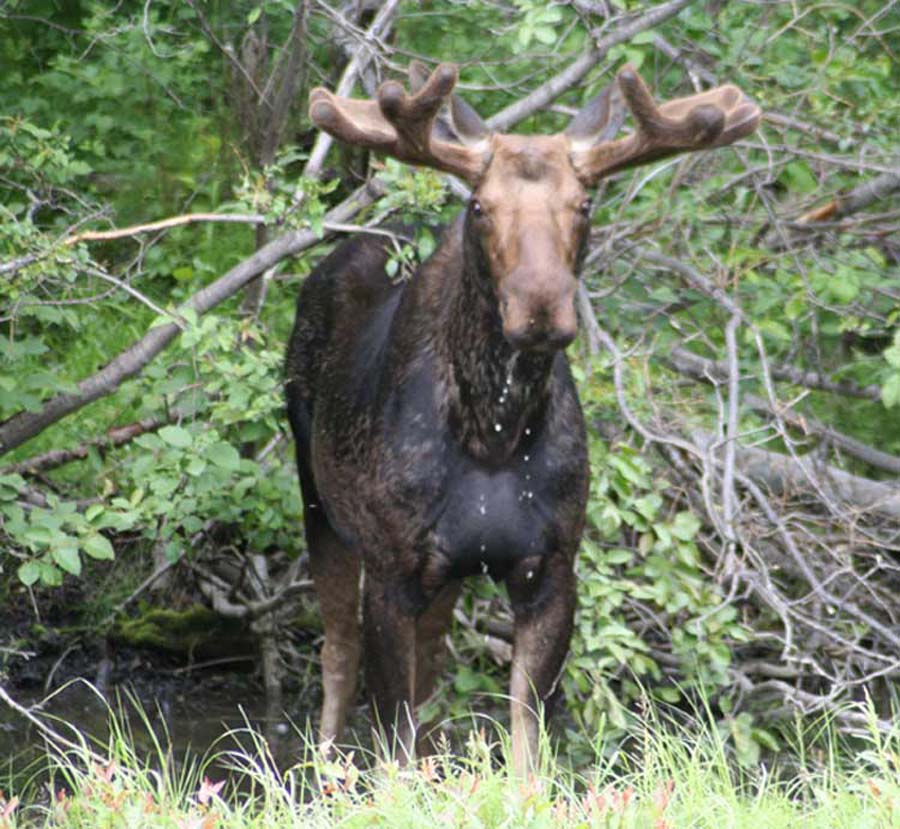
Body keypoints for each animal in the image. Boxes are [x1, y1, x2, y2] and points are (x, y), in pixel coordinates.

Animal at [285, 60, 760, 774]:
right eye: (481, 206)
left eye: (585, 204)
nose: (541, 305)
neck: (495, 436)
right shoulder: (393, 567)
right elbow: (392, 736)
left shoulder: (549, 568)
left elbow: (527, 740)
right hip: (319, 500)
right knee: (336, 654)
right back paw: (322, 774)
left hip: (446, 572)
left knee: (431, 664)